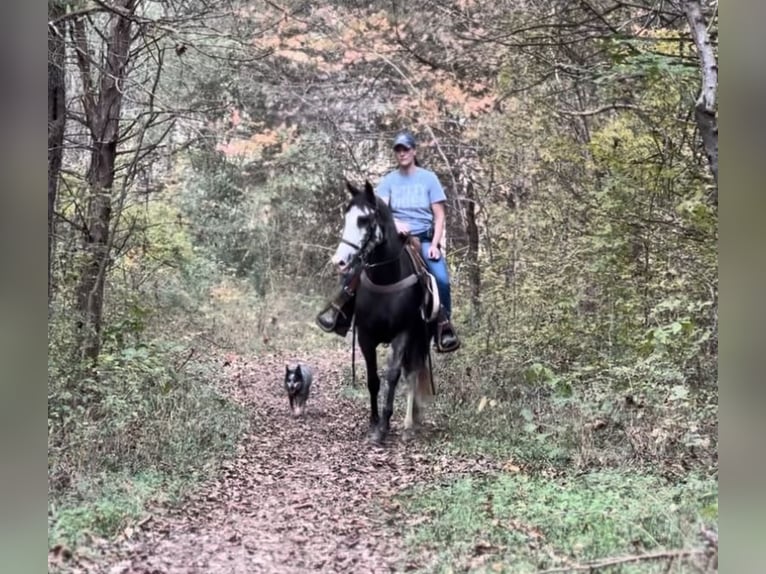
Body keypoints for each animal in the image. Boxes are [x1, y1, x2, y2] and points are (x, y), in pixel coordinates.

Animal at [332, 180, 438, 446]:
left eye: (363, 220)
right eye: (346, 217)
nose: (339, 261)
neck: (386, 279)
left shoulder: (403, 334)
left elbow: (392, 375)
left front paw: (384, 426)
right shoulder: (365, 336)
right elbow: (373, 379)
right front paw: (373, 422)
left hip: (420, 339)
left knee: (413, 373)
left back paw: (410, 424)